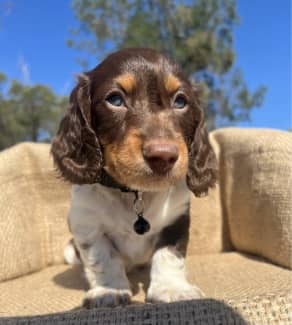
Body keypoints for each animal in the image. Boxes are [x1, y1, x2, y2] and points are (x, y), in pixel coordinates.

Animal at [51, 47, 217, 306]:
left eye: (181, 101)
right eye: (115, 100)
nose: (163, 155)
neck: (136, 193)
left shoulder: (177, 220)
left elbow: (169, 255)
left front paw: (172, 289)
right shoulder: (87, 224)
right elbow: (103, 258)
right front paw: (109, 291)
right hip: (69, 250)